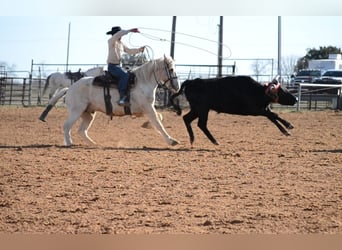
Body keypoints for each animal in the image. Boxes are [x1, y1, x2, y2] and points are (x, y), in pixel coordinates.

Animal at [38, 55, 180, 146]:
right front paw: (171, 141)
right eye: (171, 69)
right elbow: (158, 123)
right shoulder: (148, 108)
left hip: (88, 114)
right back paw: (68, 143)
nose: (177, 86)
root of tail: (70, 88)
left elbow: (159, 119)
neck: (142, 82)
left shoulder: (145, 109)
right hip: (76, 111)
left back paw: (94, 144)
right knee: (67, 126)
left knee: (82, 131)